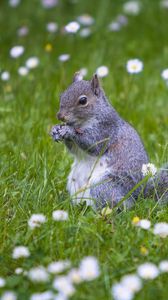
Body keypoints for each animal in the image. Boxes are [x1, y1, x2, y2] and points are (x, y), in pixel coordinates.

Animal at [51, 72, 168, 209]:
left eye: (83, 100)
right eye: (61, 95)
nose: (60, 116)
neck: (81, 123)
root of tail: (136, 198)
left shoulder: (106, 130)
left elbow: (93, 145)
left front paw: (68, 131)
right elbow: (74, 149)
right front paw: (55, 129)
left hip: (104, 186)